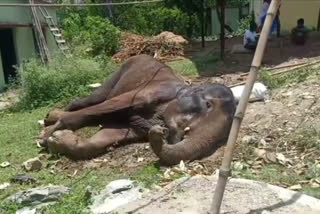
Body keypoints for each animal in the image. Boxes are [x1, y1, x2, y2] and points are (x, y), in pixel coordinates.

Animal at [39, 54, 235, 166]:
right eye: (208, 105)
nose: (159, 131)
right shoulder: (148, 92)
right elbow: (111, 104)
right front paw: (45, 138)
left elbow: (111, 134)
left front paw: (56, 140)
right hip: (118, 73)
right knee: (95, 100)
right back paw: (51, 117)